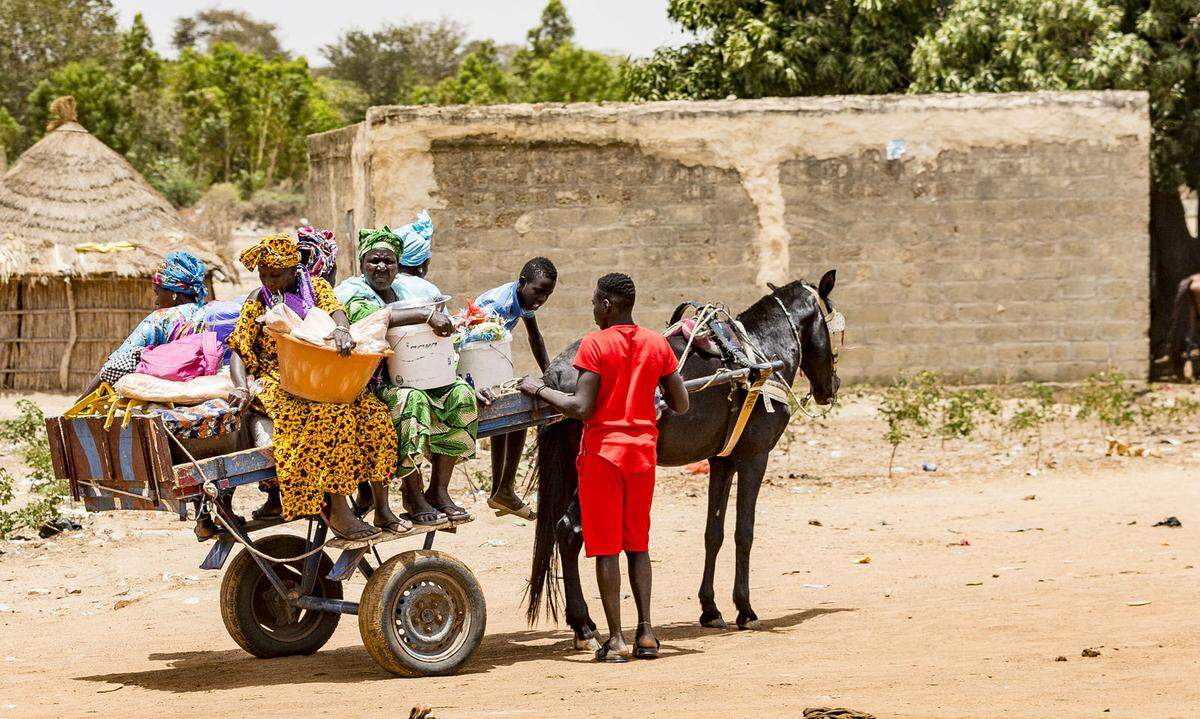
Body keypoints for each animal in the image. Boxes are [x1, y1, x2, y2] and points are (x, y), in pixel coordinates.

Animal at [525, 271, 844, 648]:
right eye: (836, 328)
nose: (832, 387)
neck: (760, 352)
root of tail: (557, 373)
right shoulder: (755, 457)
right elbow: (744, 532)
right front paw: (745, 610)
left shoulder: (722, 460)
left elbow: (713, 533)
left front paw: (711, 609)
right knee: (570, 530)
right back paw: (584, 626)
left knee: (562, 532)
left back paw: (584, 624)